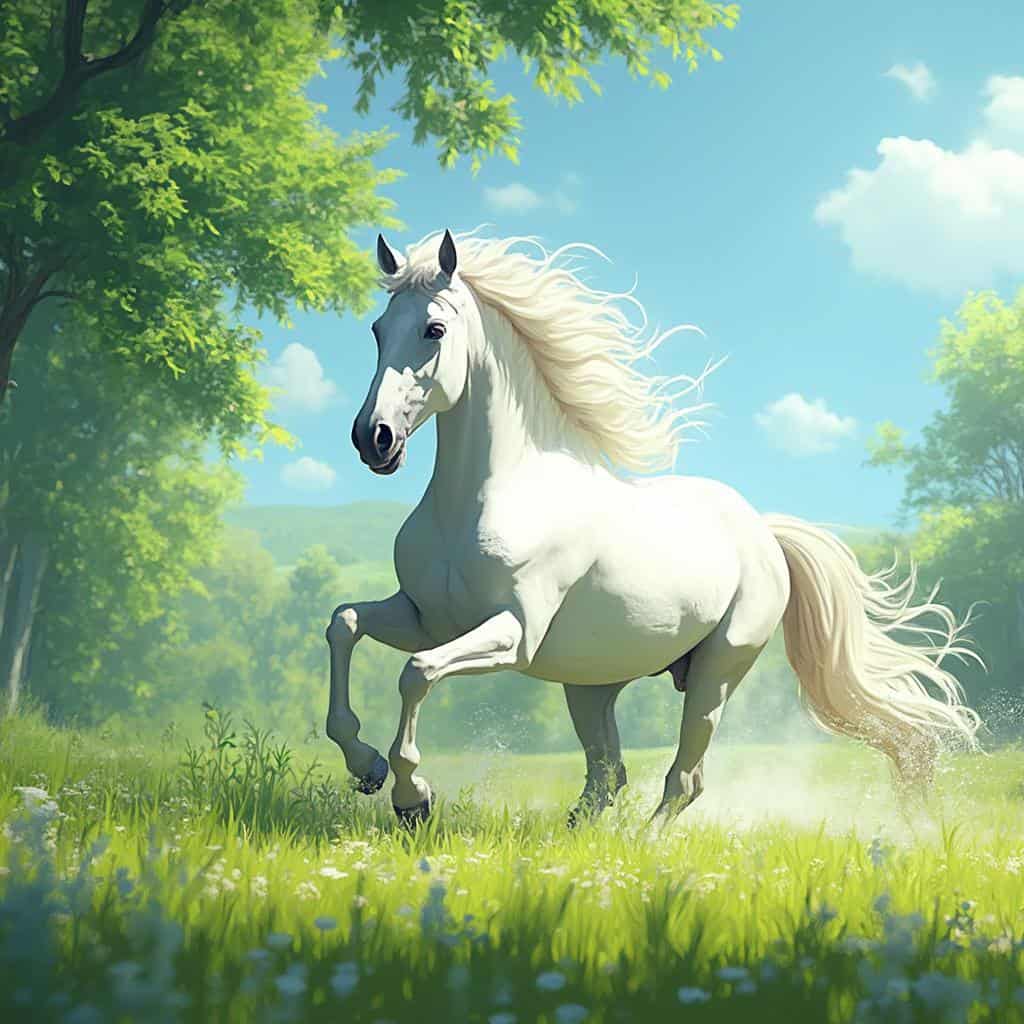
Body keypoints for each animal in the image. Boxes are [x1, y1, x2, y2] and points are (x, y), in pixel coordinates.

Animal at [325, 229, 980, 826]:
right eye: (378, 330)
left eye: (434, 330)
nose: (372, 438)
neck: (486, 498)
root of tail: (763, 532)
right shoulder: (425, 617)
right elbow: (345, 624)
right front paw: (366, 766)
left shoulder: (512, 634)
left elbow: (416, 672)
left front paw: (412, 796)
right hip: (590, 681)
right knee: (606, 775)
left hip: (717, 672)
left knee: (682, 780)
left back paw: (642, 844)